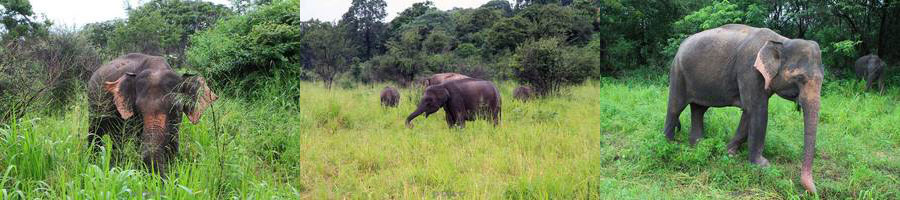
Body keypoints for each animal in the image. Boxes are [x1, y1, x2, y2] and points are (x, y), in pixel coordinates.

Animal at [664, 24, 828, 193]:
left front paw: (728, 151)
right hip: (678, 72)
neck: (781, 41)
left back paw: (698, 145)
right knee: (675, 107)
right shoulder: (750, 71)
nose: (814, 192)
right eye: (800, 78)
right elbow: (757, 110)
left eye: (822, 79)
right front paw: (762, 166)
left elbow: (748, 113)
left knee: (699, 109)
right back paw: (668, 144)